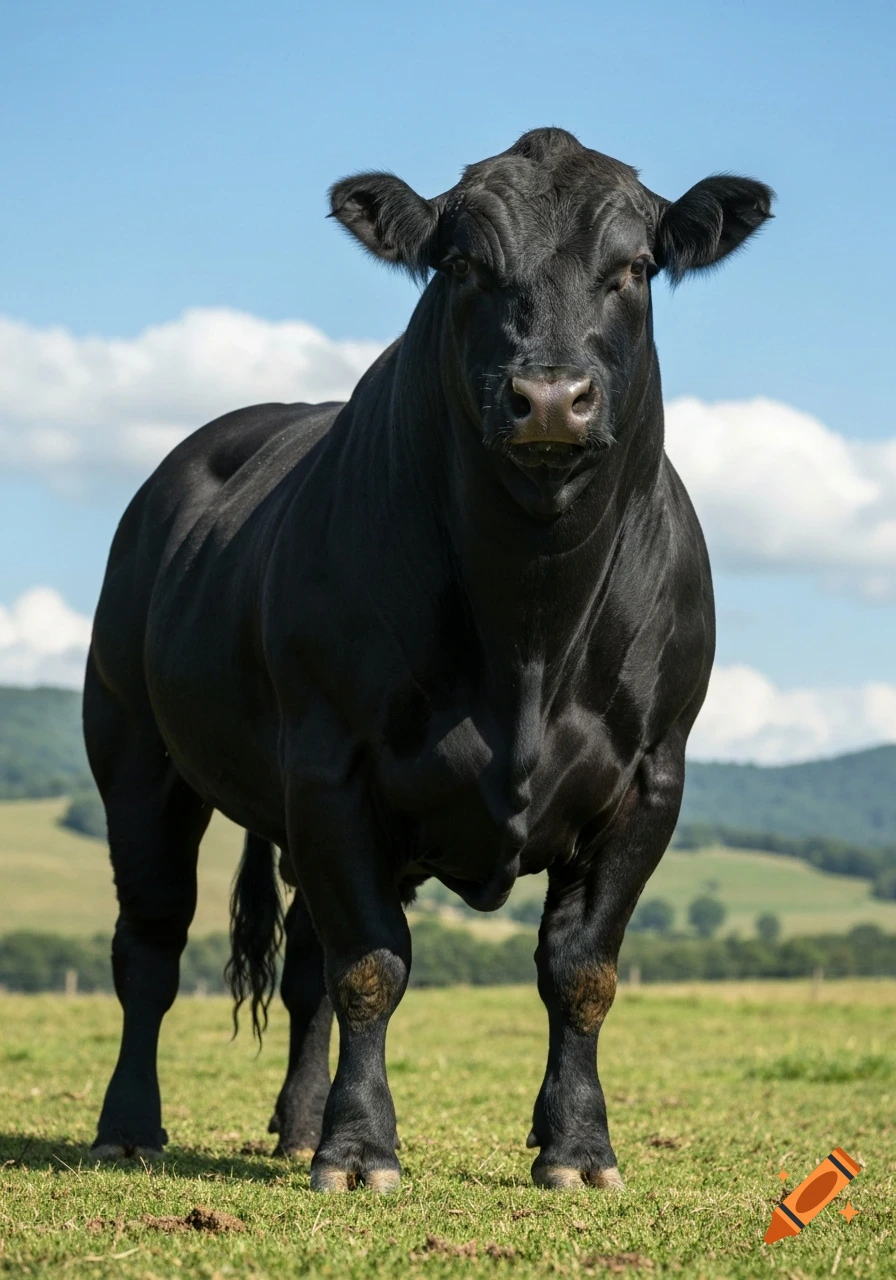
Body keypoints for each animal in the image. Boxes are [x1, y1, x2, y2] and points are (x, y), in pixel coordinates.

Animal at [85, 127, 772, 1192]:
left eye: (634, 266)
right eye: (463, 266)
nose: (550, 398)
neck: (530, 626)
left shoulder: (652, 776)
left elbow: (582, 970)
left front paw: (577, 1150)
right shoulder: (331, 764)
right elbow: (375, 966)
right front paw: (361, 1152)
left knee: (303, 967)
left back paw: (296, 1127)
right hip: (136, 751)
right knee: (151, 947)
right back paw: (129, 1126)